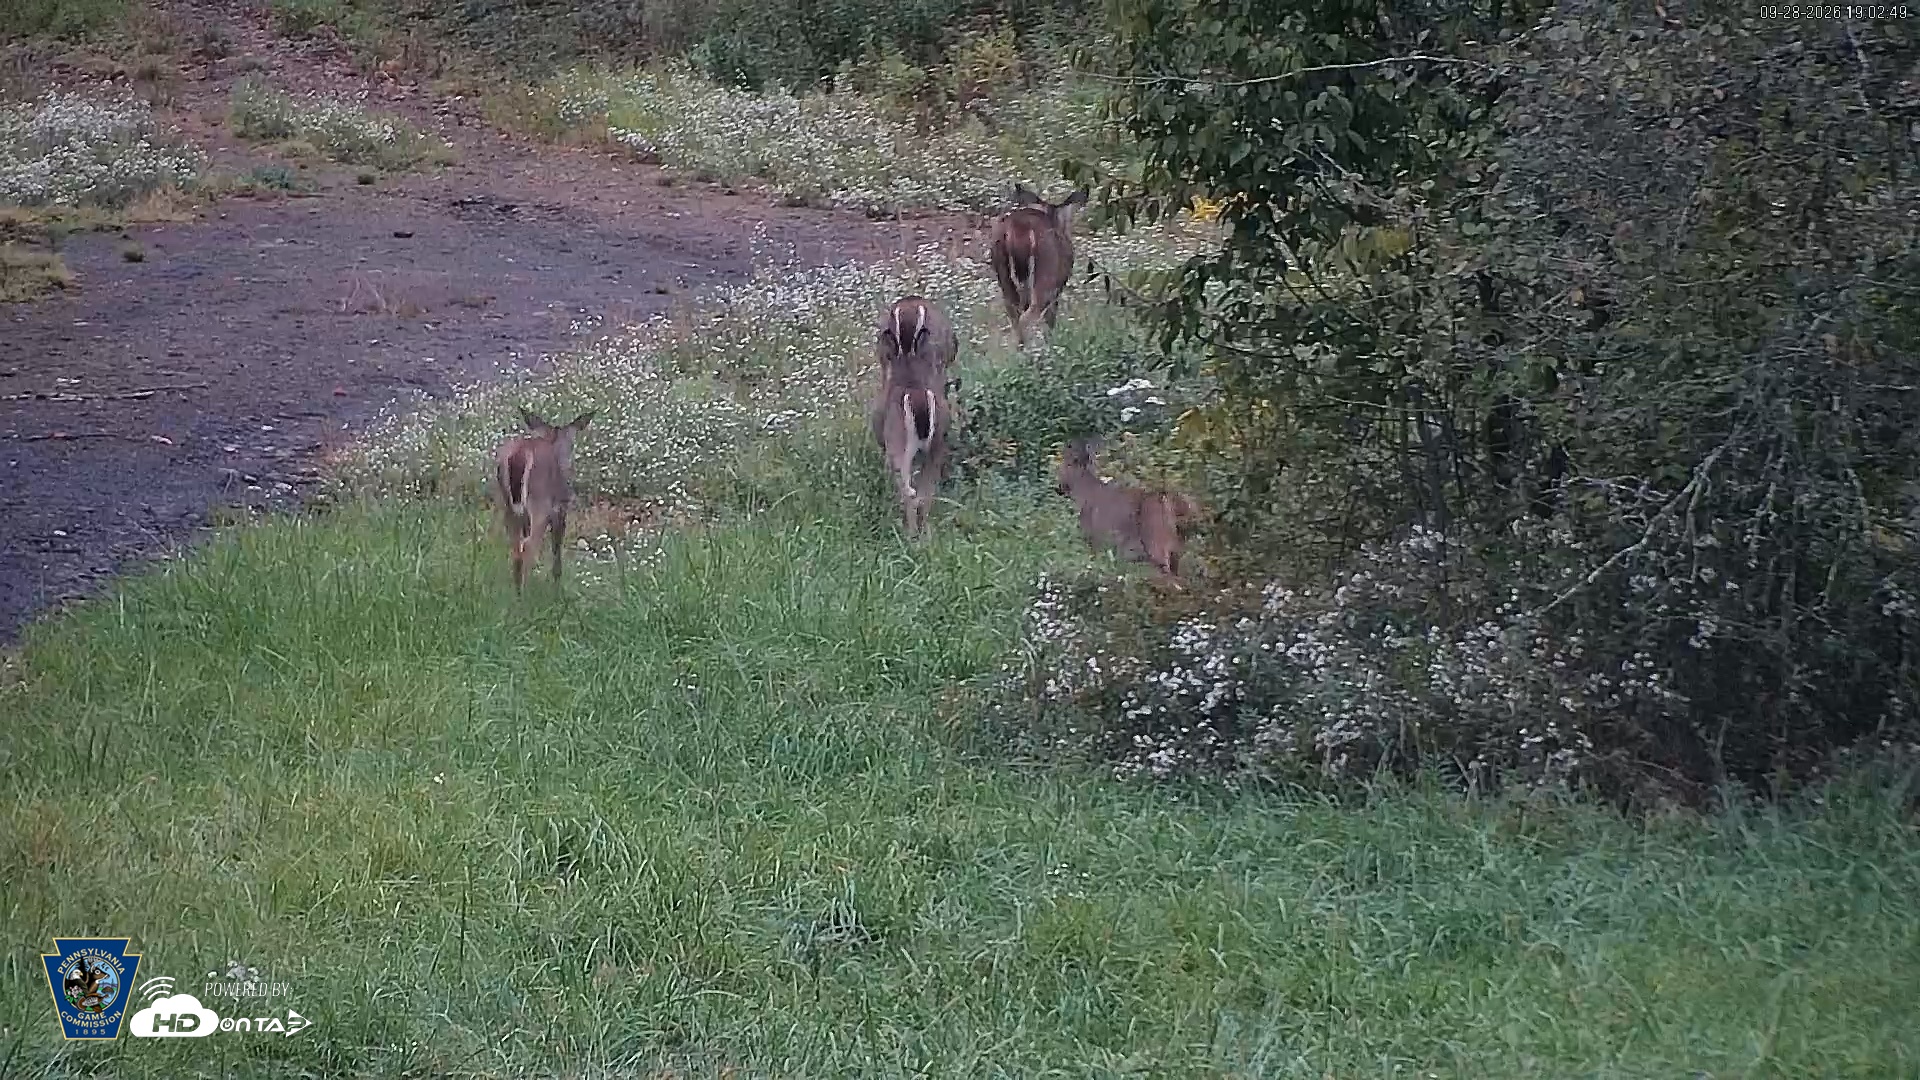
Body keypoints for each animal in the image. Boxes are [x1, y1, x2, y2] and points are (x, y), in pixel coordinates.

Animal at [492, 407, 594, 595]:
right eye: (572, 443)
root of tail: (520, 454)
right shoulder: (560, 509)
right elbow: (557, 553)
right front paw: (557, 591)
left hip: (508, 505)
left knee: (516, 550)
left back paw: (517, 594)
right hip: (540, 505)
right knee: (527, 548)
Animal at [870, 296, 958, 538]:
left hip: (900, 448)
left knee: (908, 489)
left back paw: (909, 534)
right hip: (937, 446)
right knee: (925, 492)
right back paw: (925, 533)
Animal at [1055, 437, 1201, 588]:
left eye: (1067, 464)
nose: (1059, 487)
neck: (1082, 493)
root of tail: (1164, 499)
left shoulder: (1094, 537)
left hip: (1155, 541)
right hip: (1173, 544)